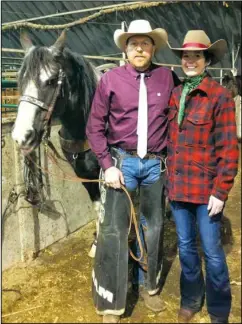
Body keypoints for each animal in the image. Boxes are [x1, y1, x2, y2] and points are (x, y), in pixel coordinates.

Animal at [11, 29, 102, 253]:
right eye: (19, 79)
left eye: (52, 80)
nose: (21, 136)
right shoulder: (84, 174)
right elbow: (99, 208)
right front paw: (97, 244)